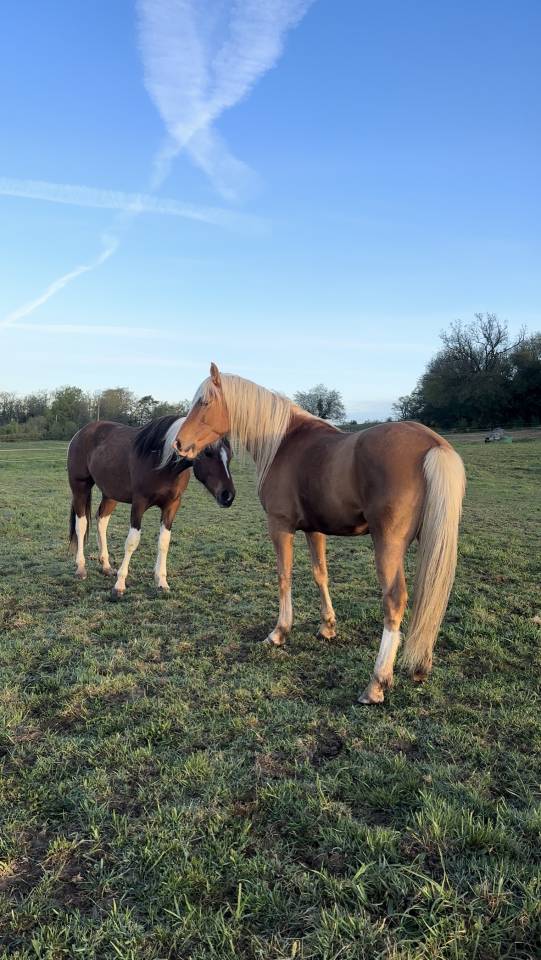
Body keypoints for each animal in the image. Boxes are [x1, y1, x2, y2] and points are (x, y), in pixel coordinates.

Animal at [67, 414, 235, 598]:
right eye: (208, 453)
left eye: (230, 456)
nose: (228, 496)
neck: (162, 463)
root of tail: (81, 433)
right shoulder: (139, 503)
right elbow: (132, 542)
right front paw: (119, 584)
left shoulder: (172, 505)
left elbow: (164, 542)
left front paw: (161, 582)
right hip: (80, 487)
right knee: (81, 525)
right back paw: (81, 568)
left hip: (110, 494)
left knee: (101, 522)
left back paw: (106, 566)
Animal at [172, 363, 466, 705]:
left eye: (204, 402)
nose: (179, 444)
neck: (283, 442)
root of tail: (432, 444)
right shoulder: (315, 530)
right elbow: (320, 574)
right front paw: (327, 628)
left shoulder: (280, 525)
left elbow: (284, 575)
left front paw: (279, 632)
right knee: (432, 596)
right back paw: (420, 667)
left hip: (388, 545)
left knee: (394, 601)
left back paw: (376, 683)